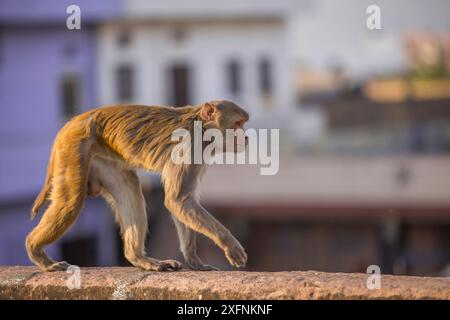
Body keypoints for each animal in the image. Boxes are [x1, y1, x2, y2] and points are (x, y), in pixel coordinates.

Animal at [25, 100, 250, 272]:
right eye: (238, 124)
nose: (245, 137)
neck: (200, 128)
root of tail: (72, 122)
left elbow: (182, 202)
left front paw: (194, 261)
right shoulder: (188, 148)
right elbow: (178, 200)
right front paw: (230, 244)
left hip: (103, 157)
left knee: (129, 188)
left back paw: (138, 258)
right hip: (74, 147)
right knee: (70, 202)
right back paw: (36, 251)